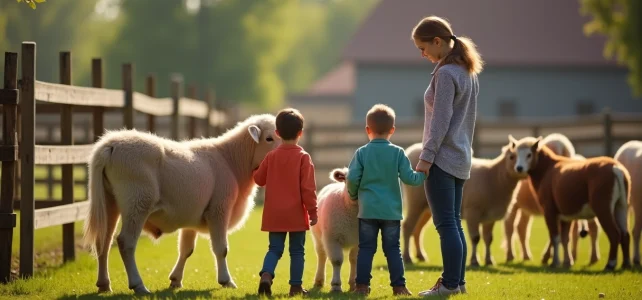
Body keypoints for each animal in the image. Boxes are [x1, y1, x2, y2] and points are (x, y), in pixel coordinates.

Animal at [82, 114, 278, 292]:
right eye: (269, 138)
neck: (232, 161)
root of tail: (111, 145)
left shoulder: (192, 218)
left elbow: (186, 250)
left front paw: (175, 280)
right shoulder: (219, 210)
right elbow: (221, 249)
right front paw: (226, 281)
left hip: (109, 201)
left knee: (103, 242)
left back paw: (104, 285)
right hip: (137, 201)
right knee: (125, 242)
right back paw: (138, 285)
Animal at [510, 135, 632, 270]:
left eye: (529, 154)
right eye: (514, 154)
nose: (519, 168)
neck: (548, 168)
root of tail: (616, 168)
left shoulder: (549, 210)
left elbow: (555, 237)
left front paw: (555, 262)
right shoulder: (565, 216)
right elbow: (564, 238)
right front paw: (567, 262)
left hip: (603, 207)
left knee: (614, 234)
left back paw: (610, 264)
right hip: (621, 205)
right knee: (625, 234)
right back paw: (626, 264)